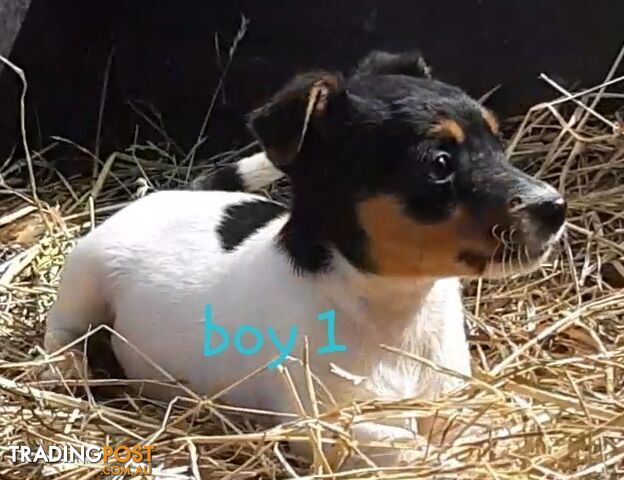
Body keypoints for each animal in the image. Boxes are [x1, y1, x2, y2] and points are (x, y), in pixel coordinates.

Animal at [44, 50, 564, 466]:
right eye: (438, 164)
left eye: (497, 145)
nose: (555, 207)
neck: (395, 307)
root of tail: (173, 193)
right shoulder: (325, 425)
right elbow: (409, 447)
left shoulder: (452, 397)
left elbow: (489, 424)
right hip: (84, 279)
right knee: (62, 331)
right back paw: (65, 368)